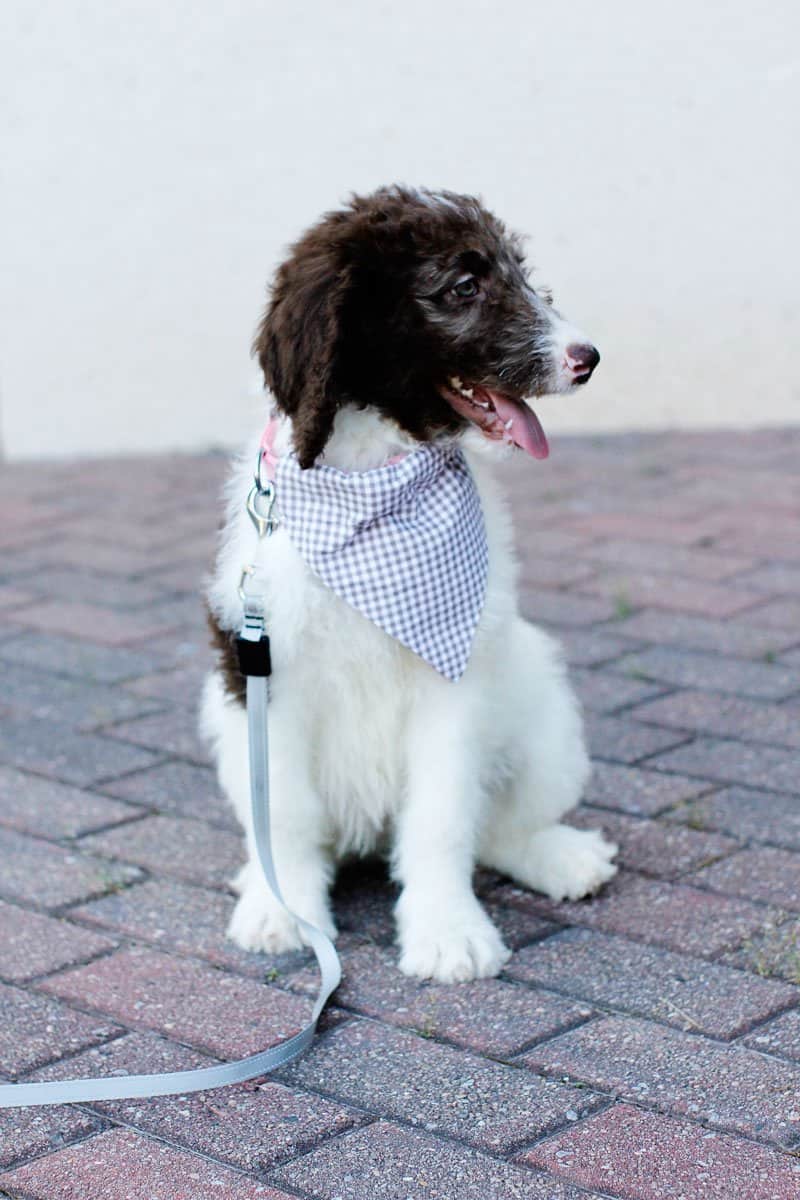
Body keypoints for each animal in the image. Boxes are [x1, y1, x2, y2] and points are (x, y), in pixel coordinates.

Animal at [201, 182, 618, 979]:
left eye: (519, 271)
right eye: (463, 287)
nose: (588, 358)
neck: (375, 485)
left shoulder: (455, 677)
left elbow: (445, 816)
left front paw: (447, 930)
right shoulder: (265, 669)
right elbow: (285, 814)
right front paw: (283, 910)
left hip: (538, 694)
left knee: (503, 825)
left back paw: (560, 857)